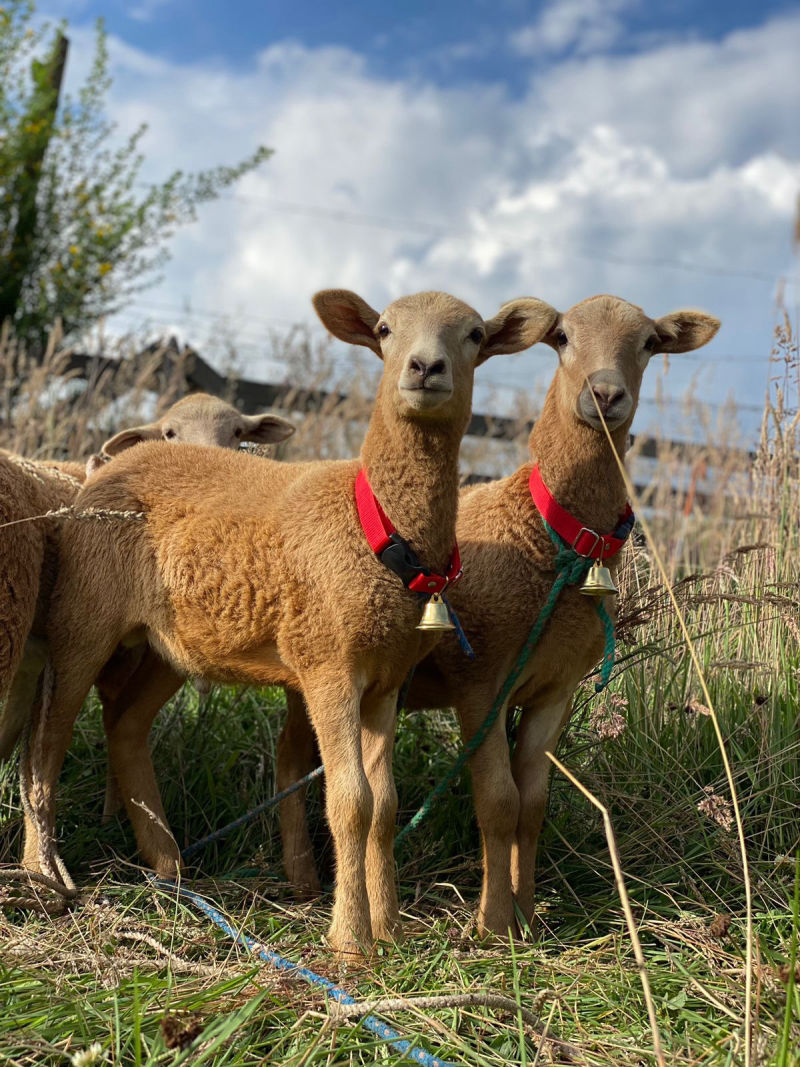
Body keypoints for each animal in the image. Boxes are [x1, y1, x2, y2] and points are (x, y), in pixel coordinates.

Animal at [275, 294, 721, 934]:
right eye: (563, 338)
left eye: (650, 344)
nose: (606, 394)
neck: (558, 541)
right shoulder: (481, 680)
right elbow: (498, 801)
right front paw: (493, 925)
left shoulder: (555, 687)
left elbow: (532, 804)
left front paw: (528, 916)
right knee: (290, 762)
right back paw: (305, 880)